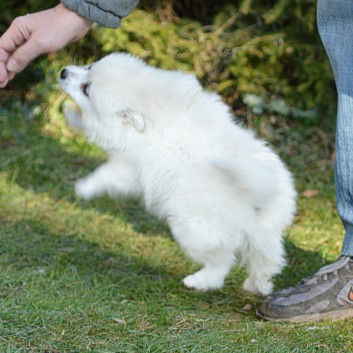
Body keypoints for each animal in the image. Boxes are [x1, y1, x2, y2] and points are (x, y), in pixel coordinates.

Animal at [59, 53, 296, 294]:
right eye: (89, 66)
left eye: (87, 89)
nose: (63, 72)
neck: (148, 104)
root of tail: (255, 192)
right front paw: (70, 114)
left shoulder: (129, 167)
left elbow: (105, 174)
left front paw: (83, 188)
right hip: (265, 231)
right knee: (266, 259)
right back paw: (259, 285)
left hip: (194, 230)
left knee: (222, 262)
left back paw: (198, 281)